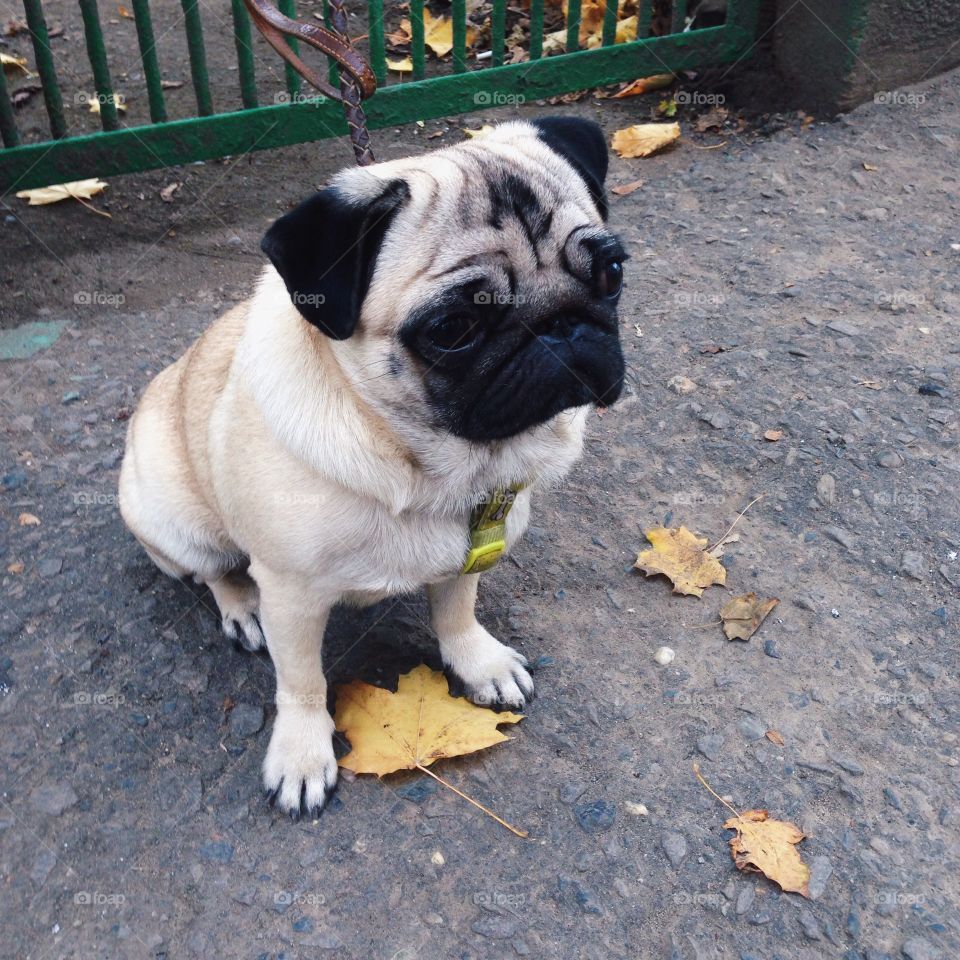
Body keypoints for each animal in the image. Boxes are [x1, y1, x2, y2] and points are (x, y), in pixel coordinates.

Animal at [116, 114, 628, 816]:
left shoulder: (469, 549)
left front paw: (478, 662)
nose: (561, 327)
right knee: (214, 570)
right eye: (453, 328)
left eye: (612, 273)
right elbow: (301, 682)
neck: (418, 462)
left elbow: (457, 613)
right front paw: (302, 753)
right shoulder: (292, 596)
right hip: (178, 525)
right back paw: (240, 607)